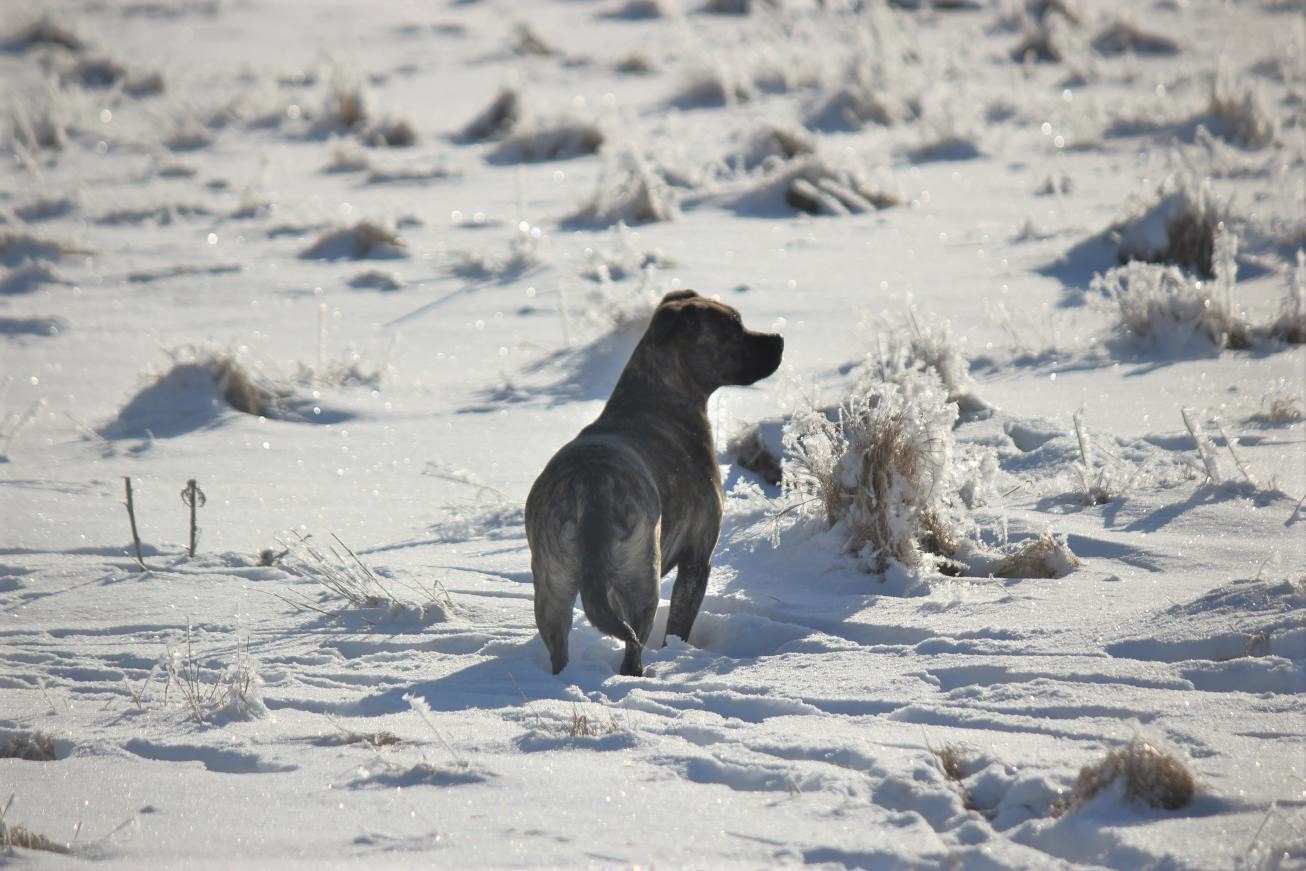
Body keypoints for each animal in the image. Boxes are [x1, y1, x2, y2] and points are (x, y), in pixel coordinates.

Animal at [522, 289, 783, 679]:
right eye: (734, 329)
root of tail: (589, 493)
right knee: (633, 649)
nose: (778, 339)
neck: (660, 395)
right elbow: (679, 626)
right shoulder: (697, 558)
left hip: (552, 583)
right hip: (643, 579)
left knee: (560, 647)